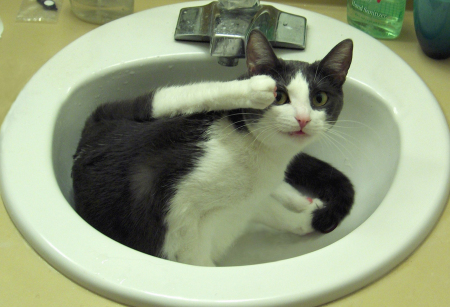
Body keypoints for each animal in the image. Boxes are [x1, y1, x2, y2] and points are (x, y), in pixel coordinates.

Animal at [73, 30, 356, 268]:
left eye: (319, 98)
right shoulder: (175, 215)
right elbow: (195, 255)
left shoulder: (248, 204)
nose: (303, 119)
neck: (264, 156)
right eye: (280, 97)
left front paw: (306, 219)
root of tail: (87, 135)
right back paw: (255, 88)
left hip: (150, 105)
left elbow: (276, 213)